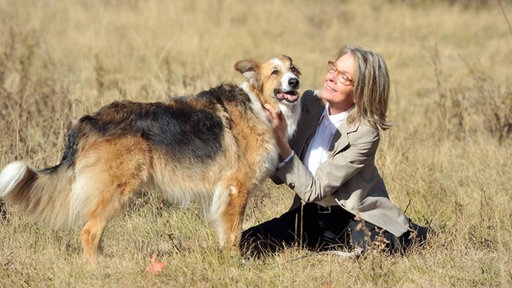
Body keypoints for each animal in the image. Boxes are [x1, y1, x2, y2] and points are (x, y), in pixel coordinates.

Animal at [0, 54, 300, 264]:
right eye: (275, 72)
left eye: (293, 69)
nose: (295, 82)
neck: (259, 104)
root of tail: (88, 122)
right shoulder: (236, 188)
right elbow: (234, 233)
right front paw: (236, 262)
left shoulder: (225, 192)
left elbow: (226, 233)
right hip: (117, 189)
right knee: (89, 231)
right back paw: (97, 268)